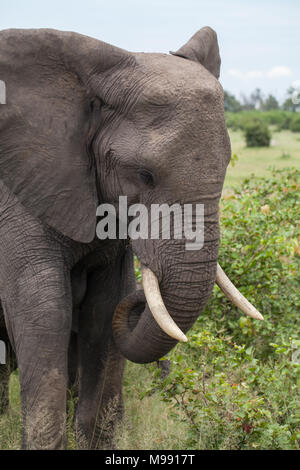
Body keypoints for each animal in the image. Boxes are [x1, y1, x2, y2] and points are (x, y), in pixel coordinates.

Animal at [0, 24, 262, 448]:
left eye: (226, 164)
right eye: (145, 175)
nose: (141, 298)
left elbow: (103, 309)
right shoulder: (17, 195)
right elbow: (45, 310)